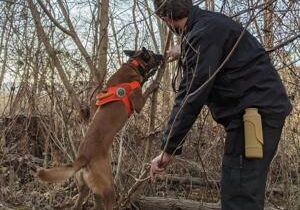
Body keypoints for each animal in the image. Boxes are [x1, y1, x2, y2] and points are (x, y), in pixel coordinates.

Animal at [37, 47, 164, 210]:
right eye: (153, 54)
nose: (163, 56)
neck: (133, 65)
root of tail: (83, 157)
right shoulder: (139, 103)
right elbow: (145, 92)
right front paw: (153, 84)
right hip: (108, 188)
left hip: (86, 189)